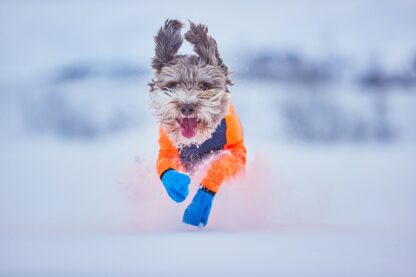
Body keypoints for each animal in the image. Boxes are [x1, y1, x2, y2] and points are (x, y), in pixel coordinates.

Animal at [150, 19, 247, 226]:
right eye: (173, 85)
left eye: (204, 85)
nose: (187, 107)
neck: (197, 142)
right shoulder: (168, 148)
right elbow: (165, 166)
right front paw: (178, 185)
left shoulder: (237, 151)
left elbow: (220, 165)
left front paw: (198, 206)